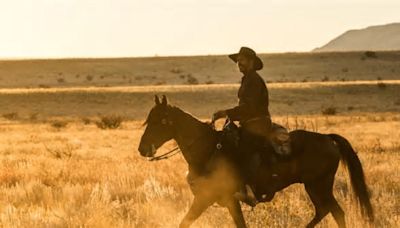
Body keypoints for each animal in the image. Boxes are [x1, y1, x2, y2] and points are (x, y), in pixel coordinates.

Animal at [138, 95, 376, 228]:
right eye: (148, 120)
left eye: (161, 121)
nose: (142, 148)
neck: (206, 151)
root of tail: (328, 138)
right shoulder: (229, 201)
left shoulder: (206, 198)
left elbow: (185, 222)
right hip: (316, 187)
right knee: (326, 211)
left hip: (319, 185)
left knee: (334, 212)